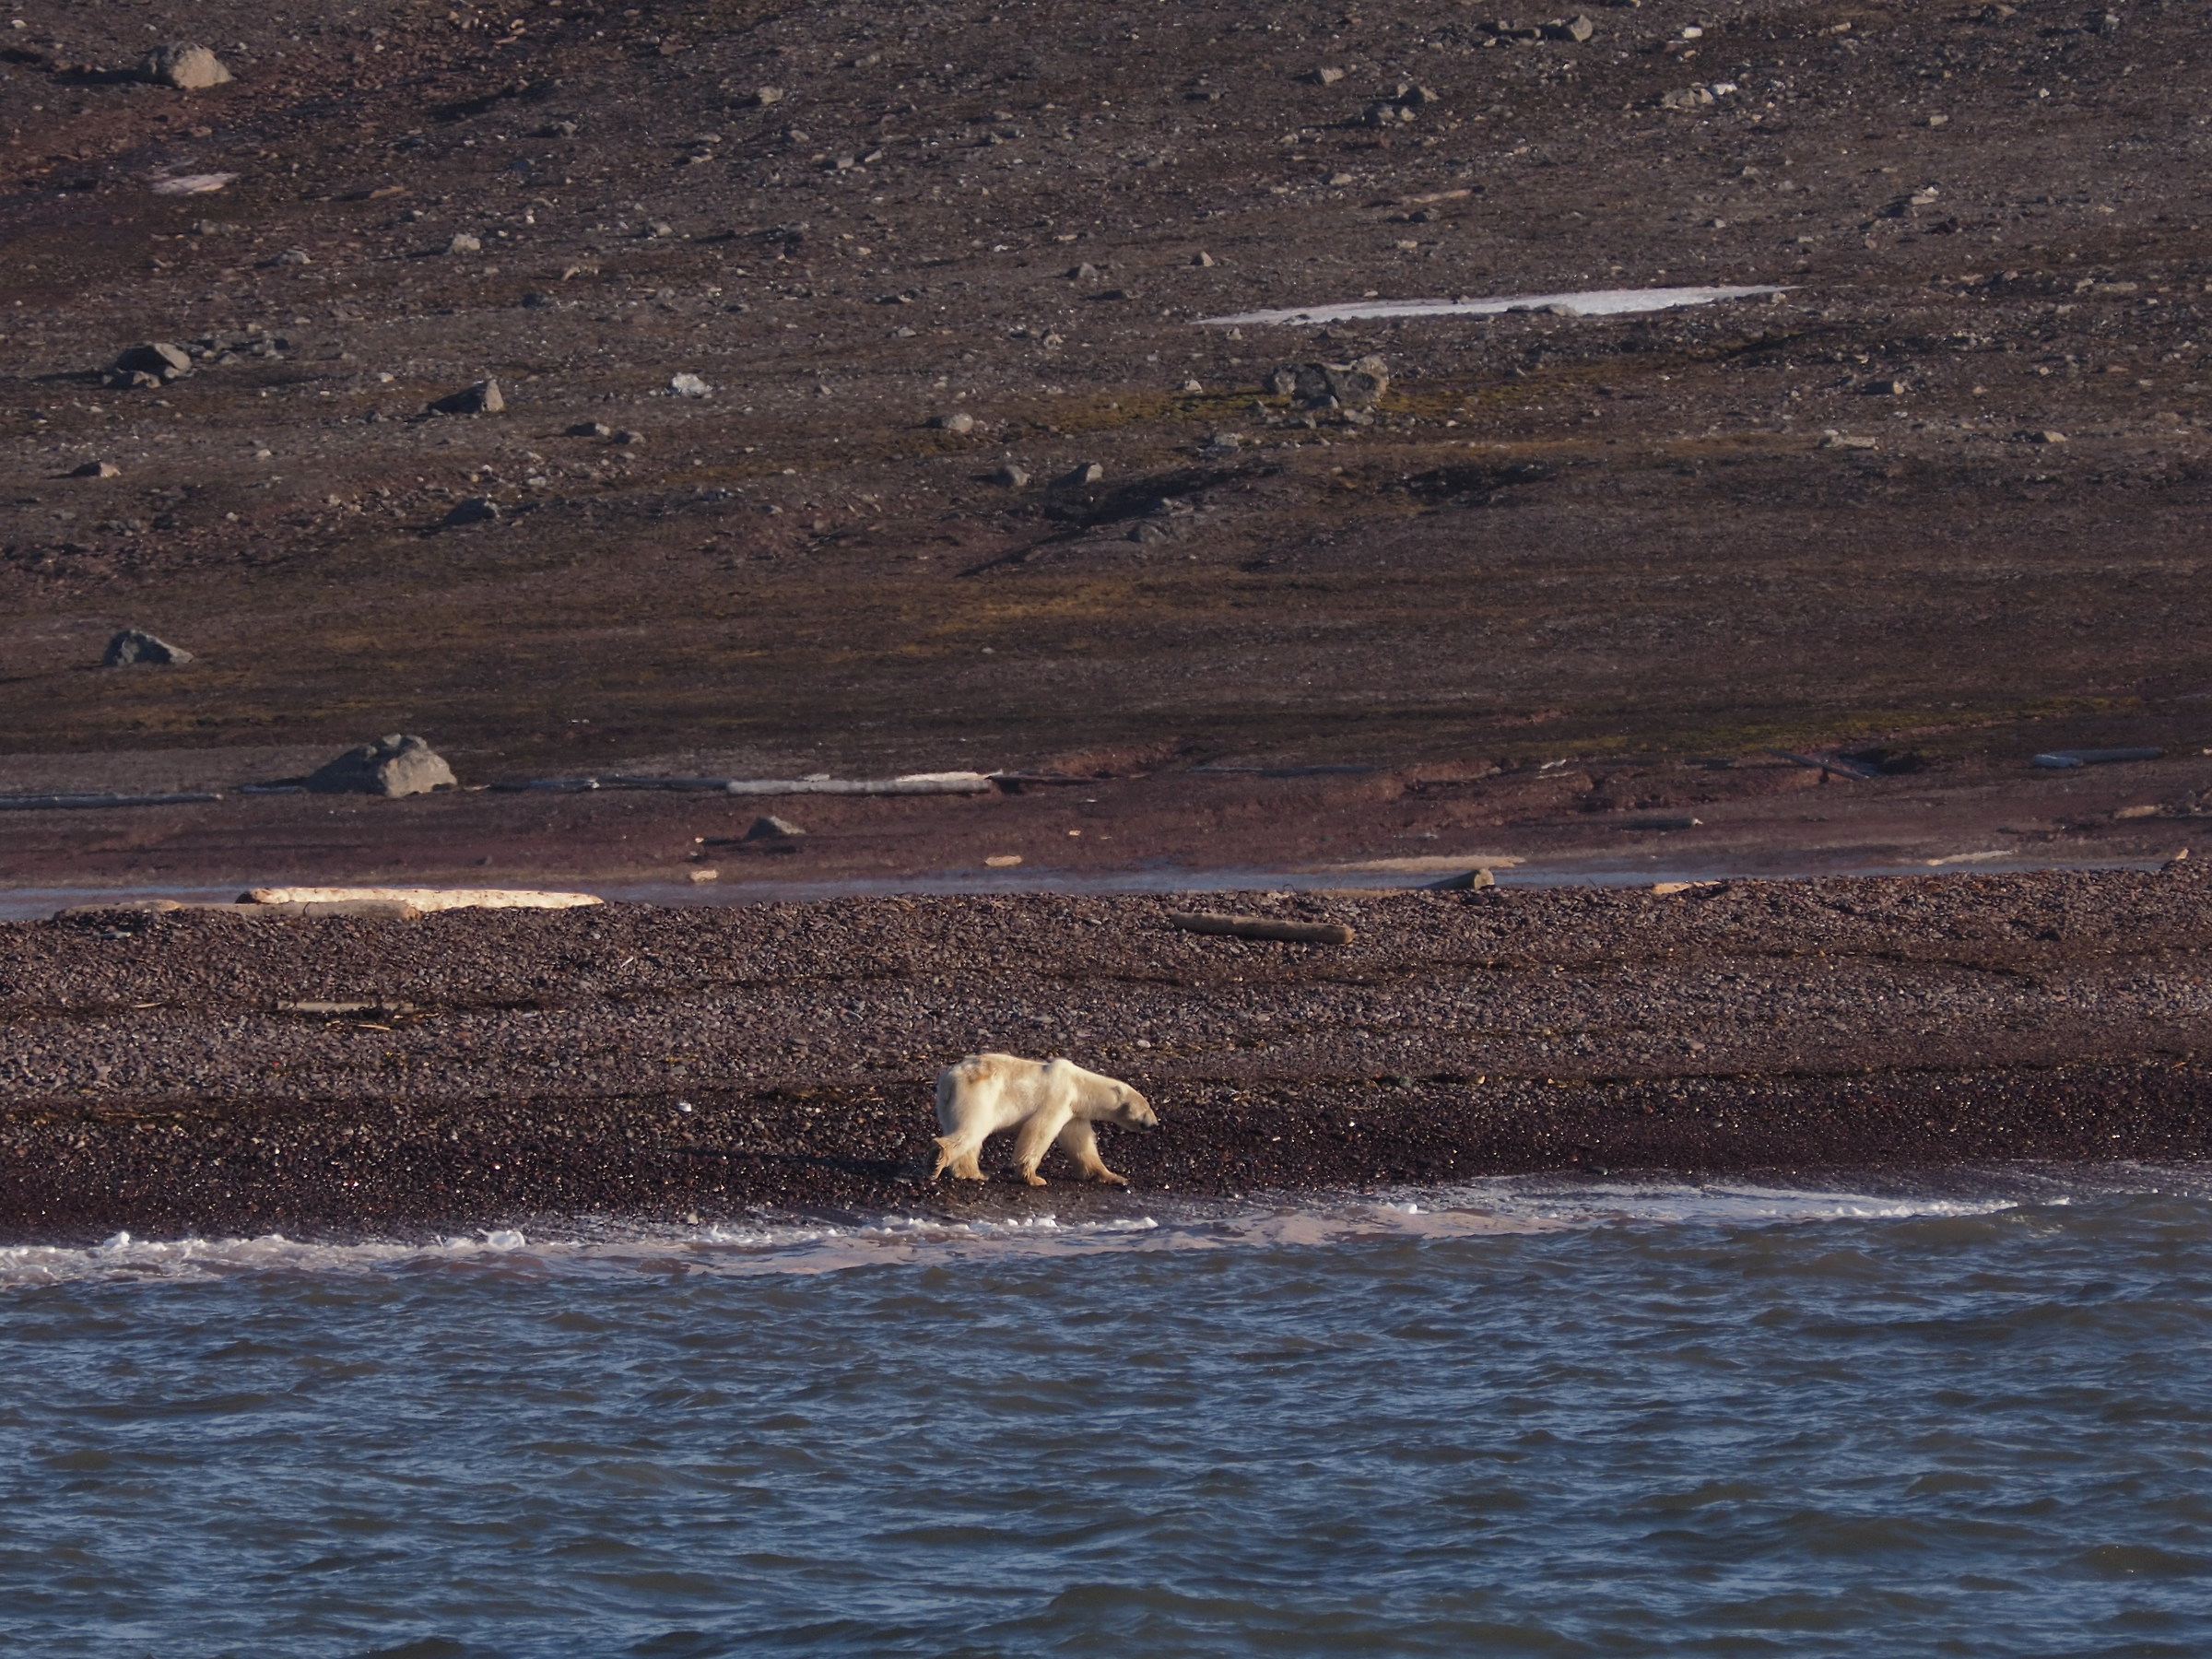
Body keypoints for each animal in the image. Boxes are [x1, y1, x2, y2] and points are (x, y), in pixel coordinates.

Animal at [930, 1053, 1159, 1187]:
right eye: (1147, 1107)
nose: (1155, 1124)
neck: (1079, 1085)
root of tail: (950, 1079)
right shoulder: (1058, 1097)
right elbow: (1039, 1131)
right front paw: (1033, 1177)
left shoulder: (1074, 1113)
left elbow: (1080, 1143)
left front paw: (1113, 1176)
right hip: (979, 1095)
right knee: (973, 1129)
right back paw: (939, 1157)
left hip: (946, 1103)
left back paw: (973, 1173)